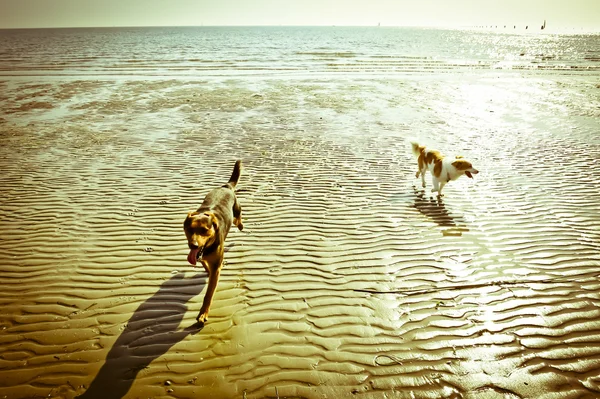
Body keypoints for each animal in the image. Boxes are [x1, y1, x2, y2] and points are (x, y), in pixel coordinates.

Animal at [185, 160, 246, 324]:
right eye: (189, 229)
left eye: (204, 230)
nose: (193, 245)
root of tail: (227, 186)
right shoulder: (202, 257)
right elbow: (206, 264)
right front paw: (207, 269)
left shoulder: (215, 267)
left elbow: (208, 295)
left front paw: (203, 314)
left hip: (236, 211)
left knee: (238, 219)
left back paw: (241, 225)